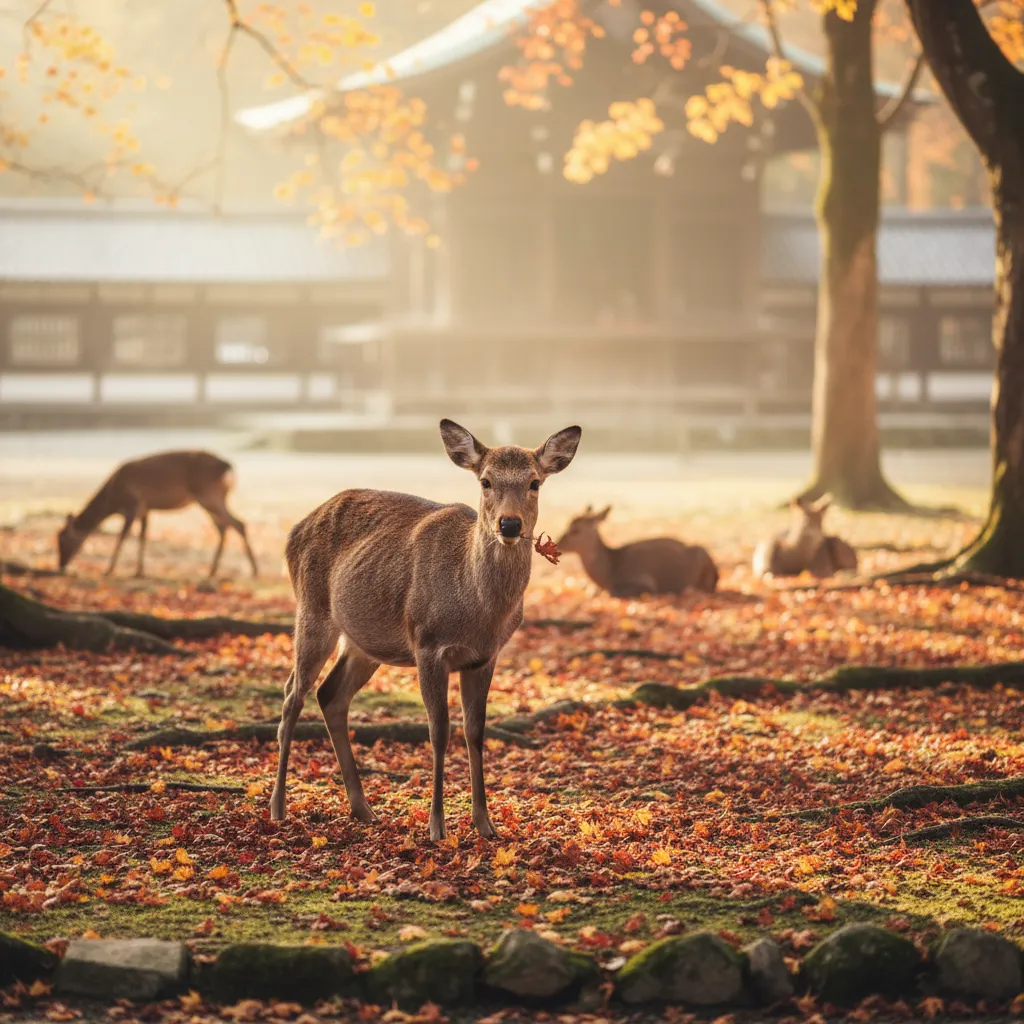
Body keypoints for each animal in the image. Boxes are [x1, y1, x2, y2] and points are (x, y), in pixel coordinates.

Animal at [57, 450, 258, 580]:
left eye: (62, 539)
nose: (61, 565)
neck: (112, 500)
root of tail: (228, 466)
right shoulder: (145, 509)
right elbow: (143, 537)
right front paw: (139, 571)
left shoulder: (133, 504)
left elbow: (123, 537)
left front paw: (109, 570)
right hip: (213, 497)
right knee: (224, 526)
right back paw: (212, 571)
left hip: (208, 494)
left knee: (238, 523)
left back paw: (254, 571)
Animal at [271, 419, 581, 841]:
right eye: (485, 481)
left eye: (535, 482)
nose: (509, 523)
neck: (477, 609)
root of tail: (294, 530)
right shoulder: (427, 643)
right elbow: (439, 731)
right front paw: (437, 826)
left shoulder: (485, 657)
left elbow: (475, 731)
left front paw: (485, 824)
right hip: (311, 610)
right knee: (292, 695)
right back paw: (278, 807)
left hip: (365, 642)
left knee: (330, 694)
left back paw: (363, 809)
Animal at [556, 505, 719, 597]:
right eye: (567, 524)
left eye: (576, 530)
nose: (558, 543)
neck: (609, 573)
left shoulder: (645, 582)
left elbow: (613, 593)